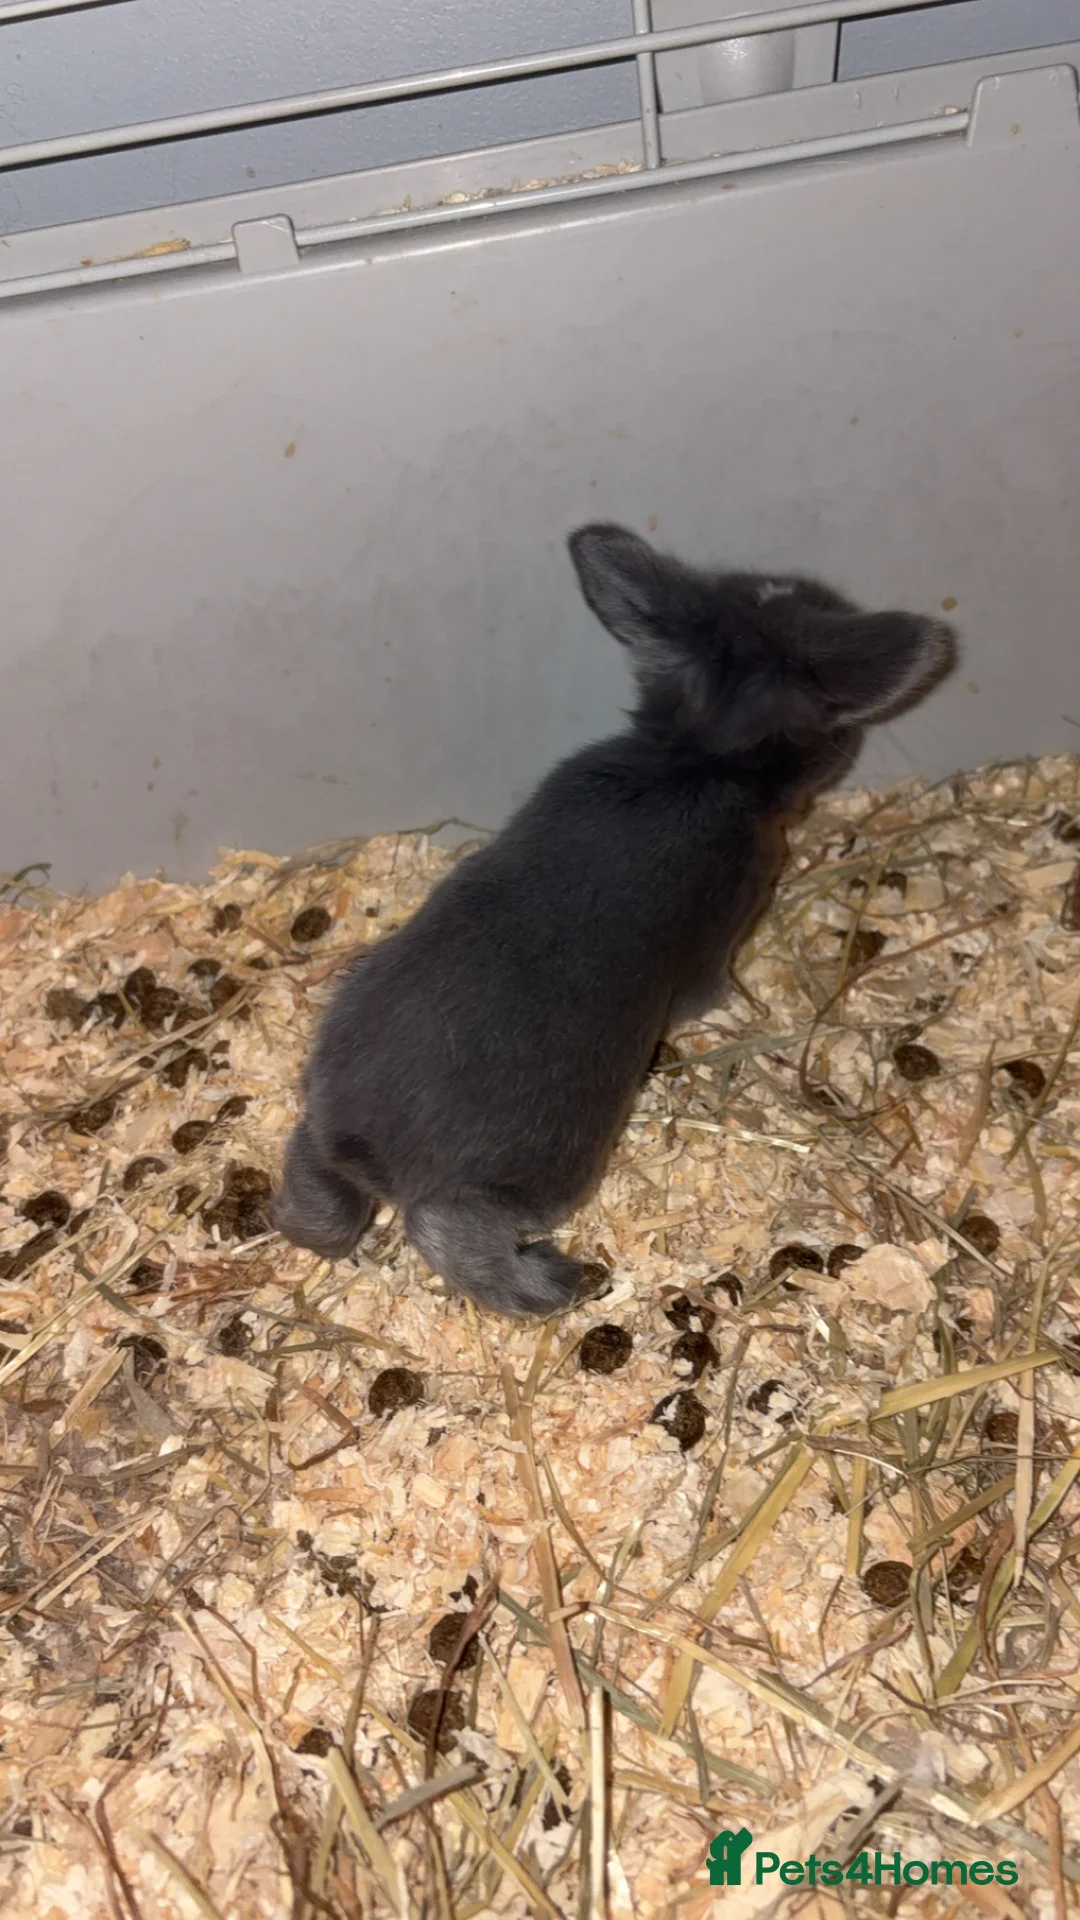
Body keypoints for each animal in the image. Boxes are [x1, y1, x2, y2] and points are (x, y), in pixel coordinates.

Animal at [272, 523, 956, 1316]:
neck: (697, 755)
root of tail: (368, 1143)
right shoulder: (720, 933)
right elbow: (706, 991)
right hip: (547, 1163)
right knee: (449, 1228)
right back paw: (551, 1284)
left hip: (325, 1111)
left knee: (318, 1184)